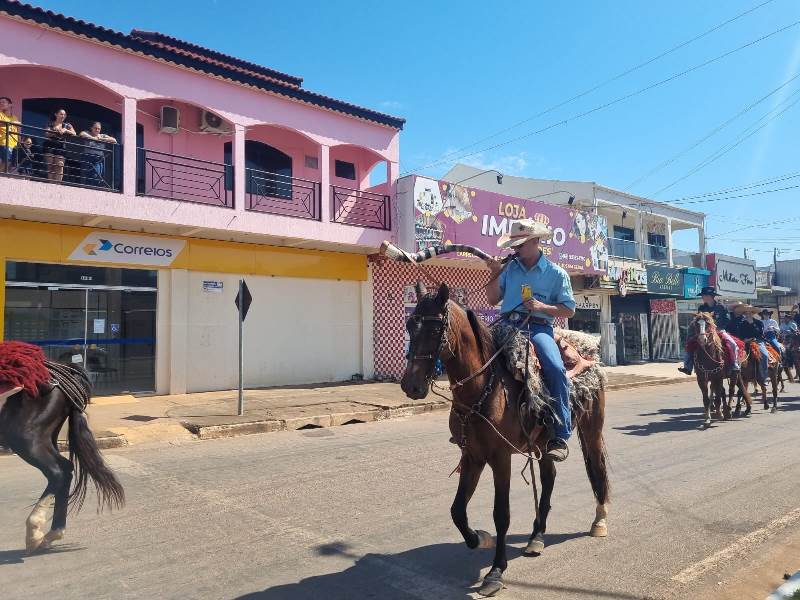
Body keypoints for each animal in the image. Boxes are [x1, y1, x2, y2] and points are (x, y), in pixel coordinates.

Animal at [0, 342, 124, 553]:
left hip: (27, 438)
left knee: (58, 471)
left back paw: (34, 533)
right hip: (45, 437)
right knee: (65, 469)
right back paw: (51, 534)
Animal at [400, 282, 609, 597]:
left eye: (436, 328)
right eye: (410, 324)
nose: (410, 386)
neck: (483, 388)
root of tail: (590, 354)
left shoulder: (500, 458)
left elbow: (502, 513)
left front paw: (496, 571)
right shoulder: (472, 456)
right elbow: (457, 510)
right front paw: (478, 538)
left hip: (591, 429)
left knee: (596, 469)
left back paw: (599, 520)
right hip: (542, 443)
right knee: (548, 478)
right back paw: (536, 537)